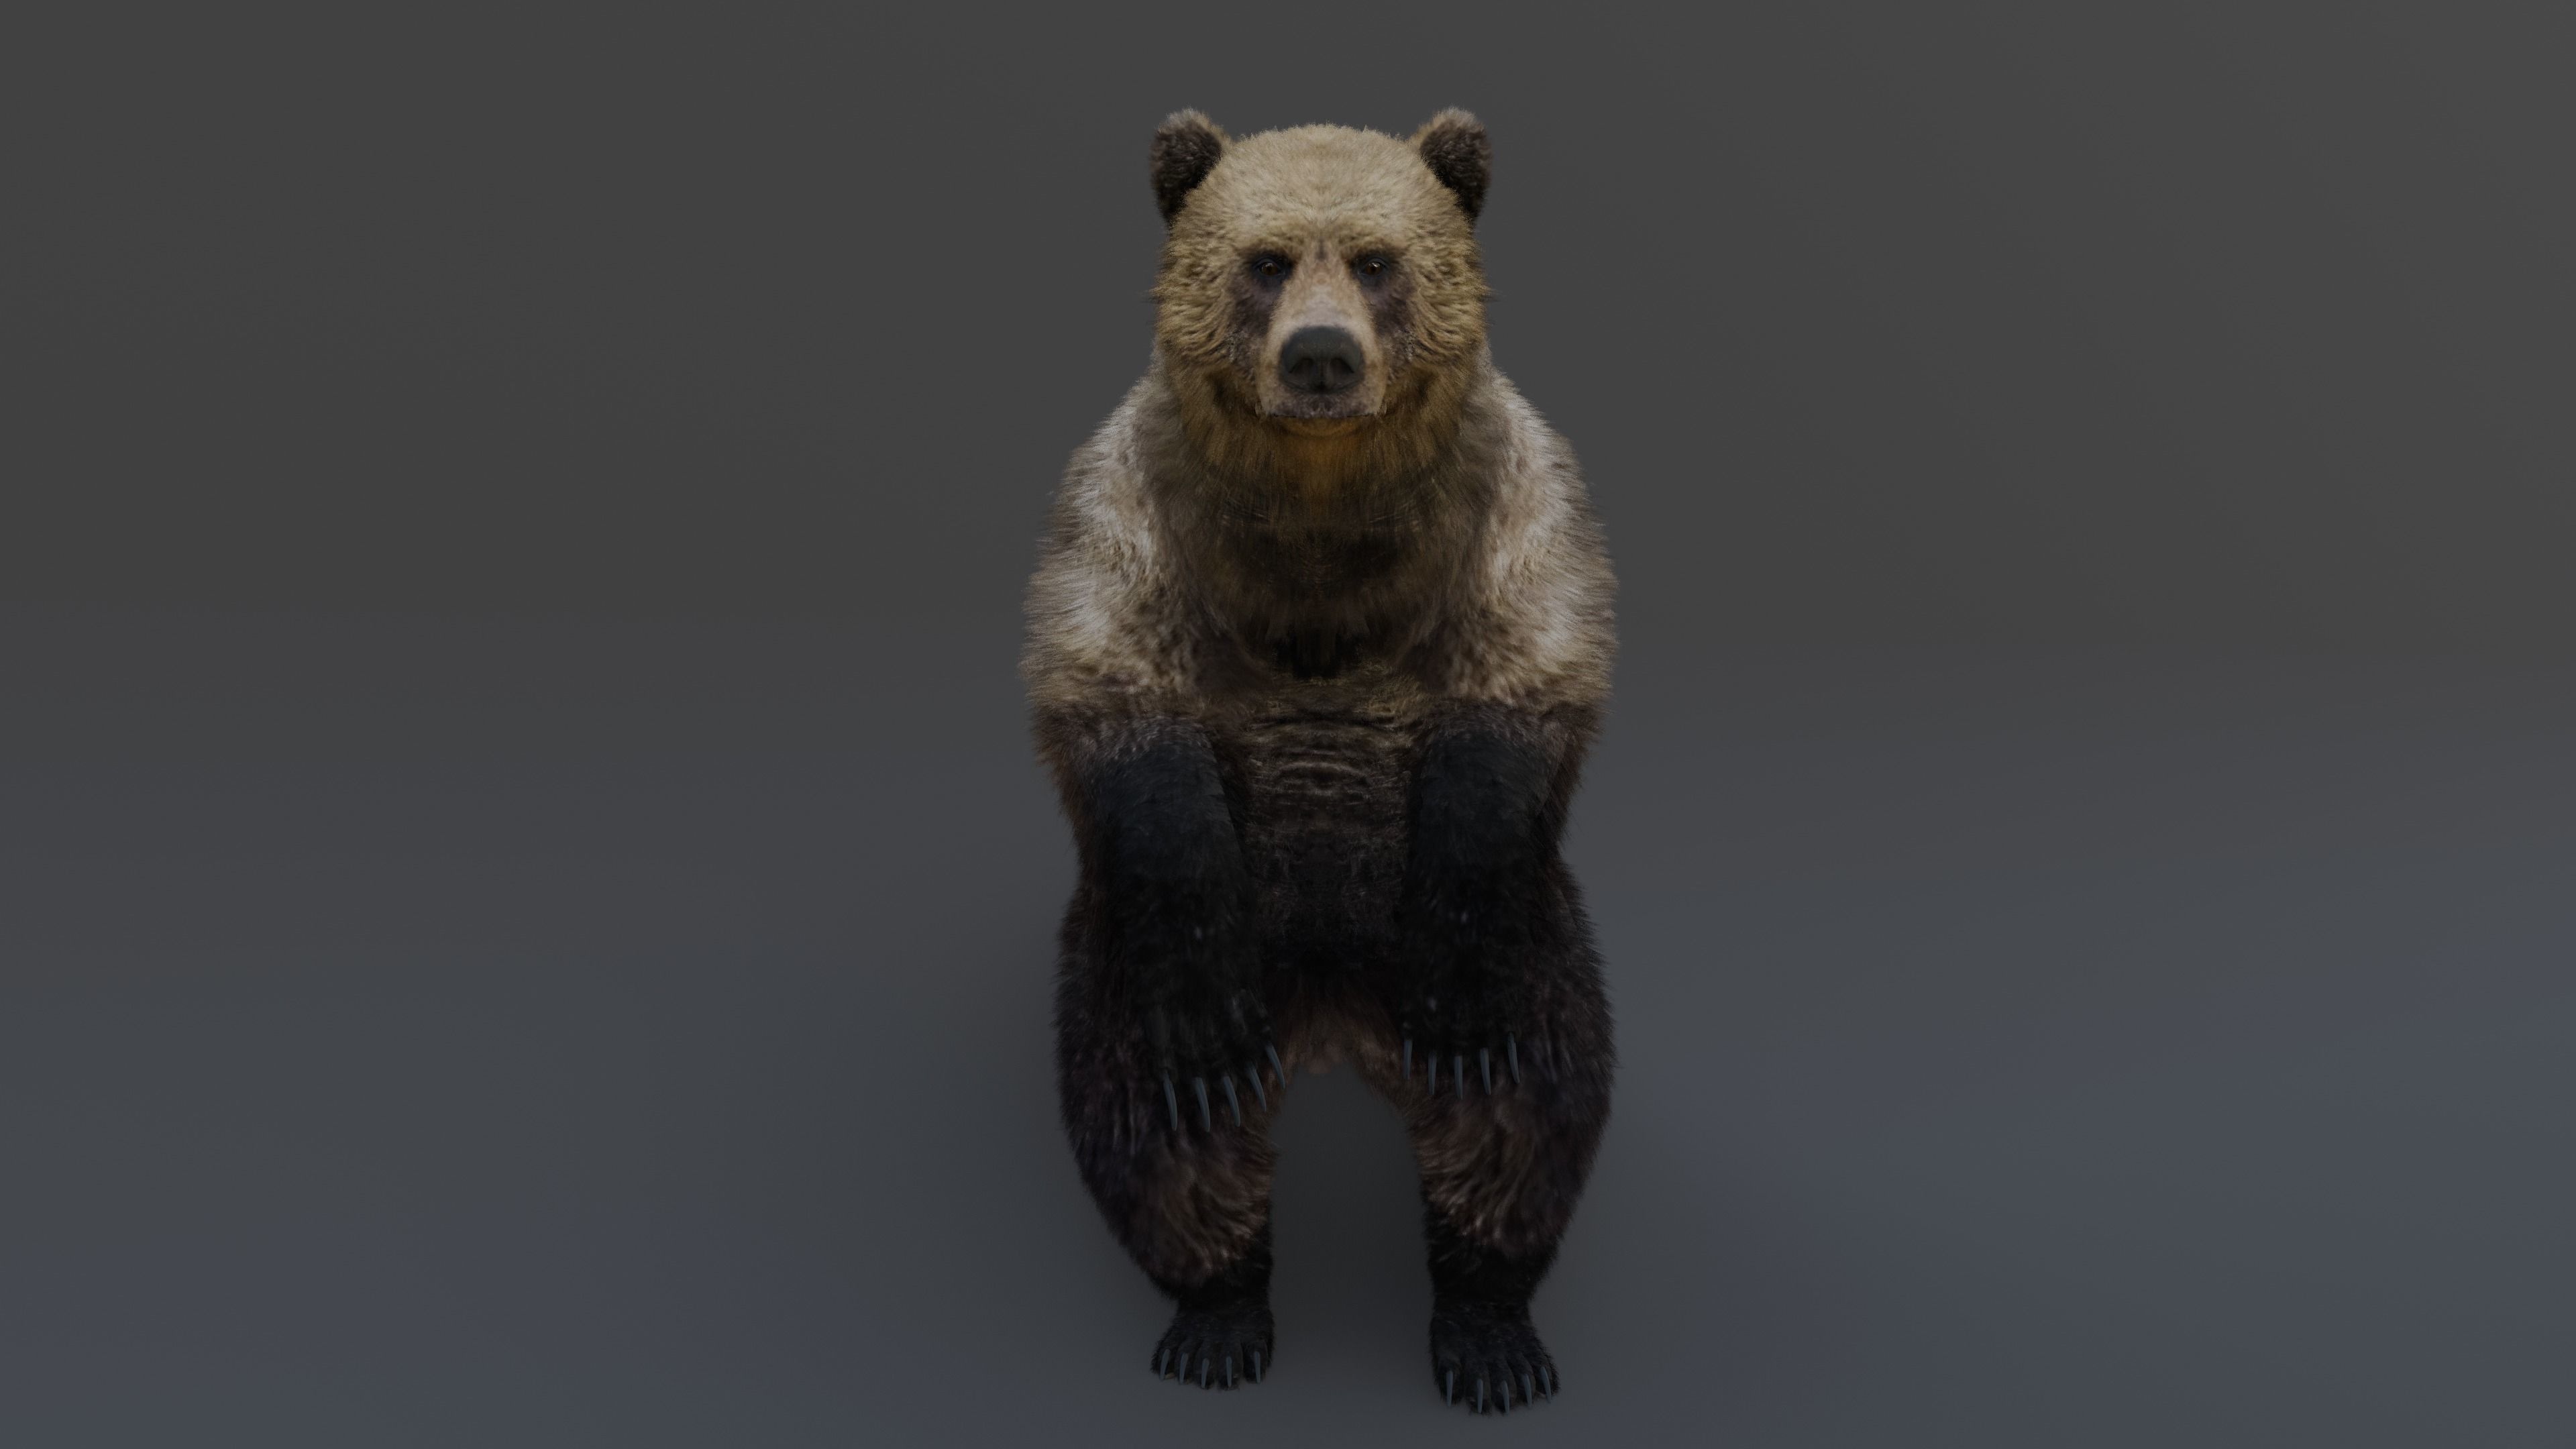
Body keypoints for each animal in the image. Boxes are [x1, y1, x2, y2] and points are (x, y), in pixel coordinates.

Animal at [1022, 108, 1616, 1416]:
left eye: (1381, 261)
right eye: (1265, 260)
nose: (1323, 360)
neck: (1322, 511)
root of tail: (1333, 1017)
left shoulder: (1514, 494)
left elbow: (1518, 690)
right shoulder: (1130, 504)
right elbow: (1119, 698)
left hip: (1543, 947)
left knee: (1525, 1113)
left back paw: (1491, 1327)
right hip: (1115, 970)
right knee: (1157, 1131)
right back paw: (1217, 1311)